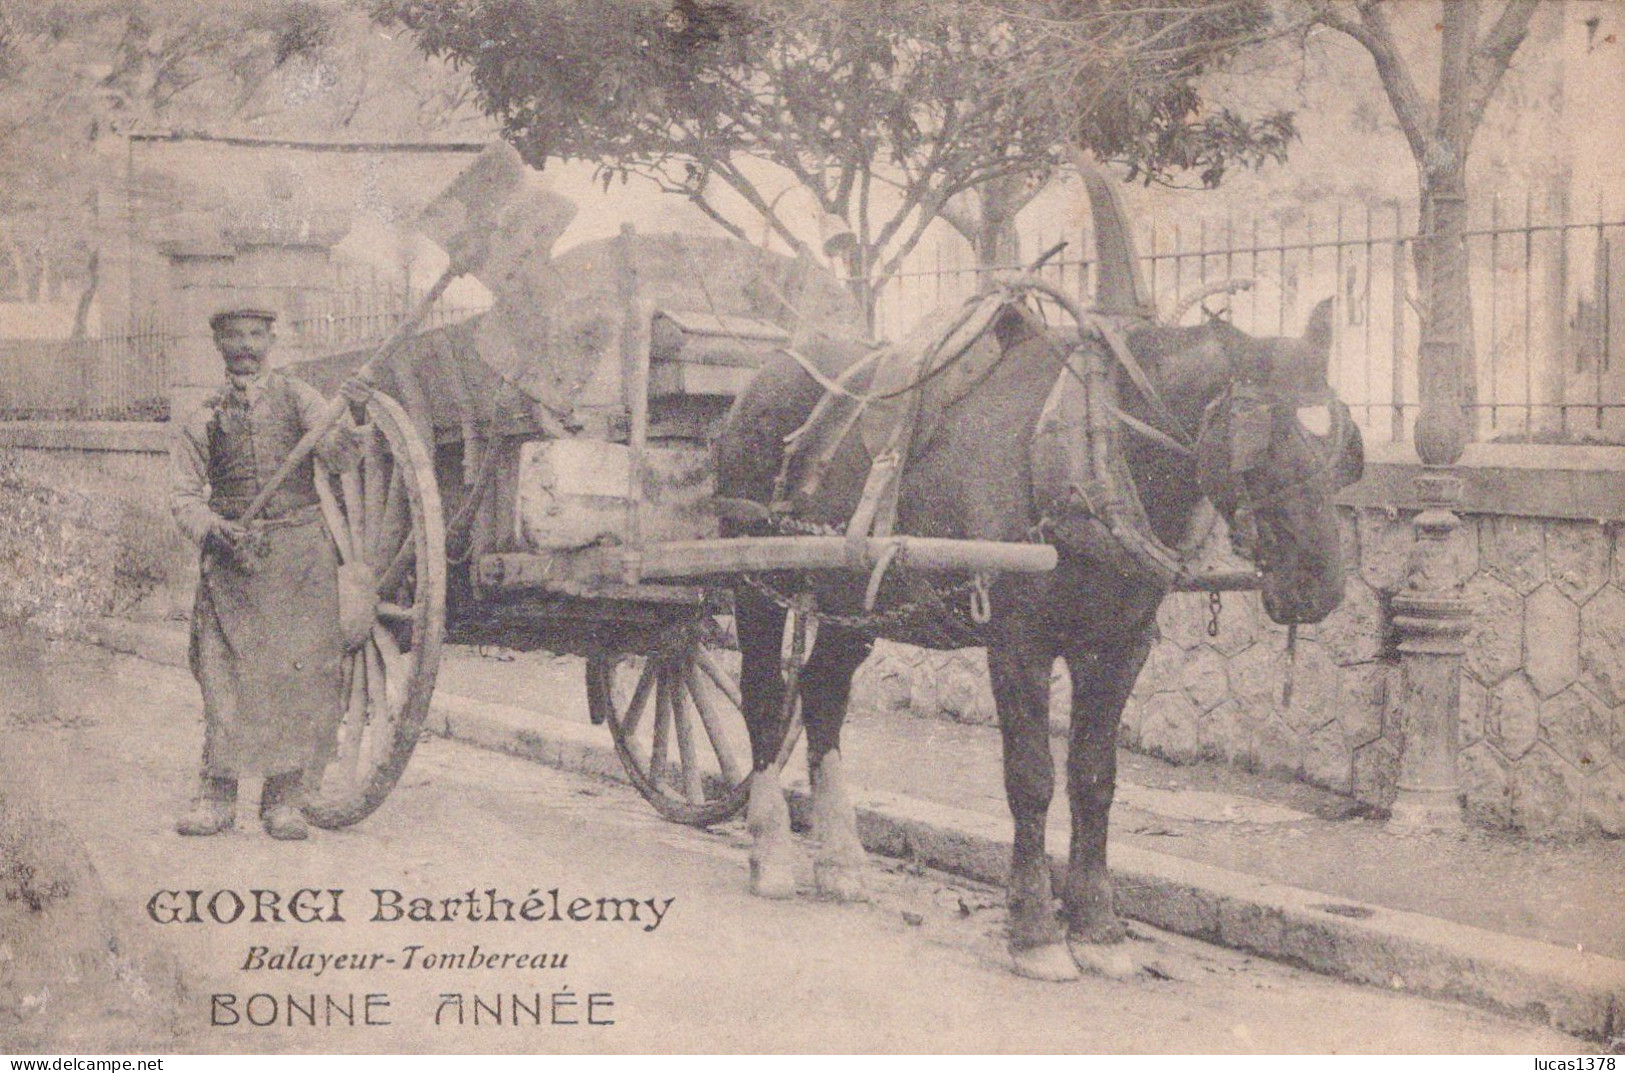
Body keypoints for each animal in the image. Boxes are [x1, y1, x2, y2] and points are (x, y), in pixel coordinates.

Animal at [718, 173, 1365, 981]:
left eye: (1343, 446)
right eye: (1259, 446)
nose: (1320, 583)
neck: (1086, 450)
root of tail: (765, 372)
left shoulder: (1119, 646)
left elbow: (1094, 778)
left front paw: (1097, 925)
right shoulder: (1017, 642)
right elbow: (1031, 778)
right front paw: (1034, 929)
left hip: (853, 596)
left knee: (825, 694)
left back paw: (839, 860)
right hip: (755, 582)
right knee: (763, 700)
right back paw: (772, 849)